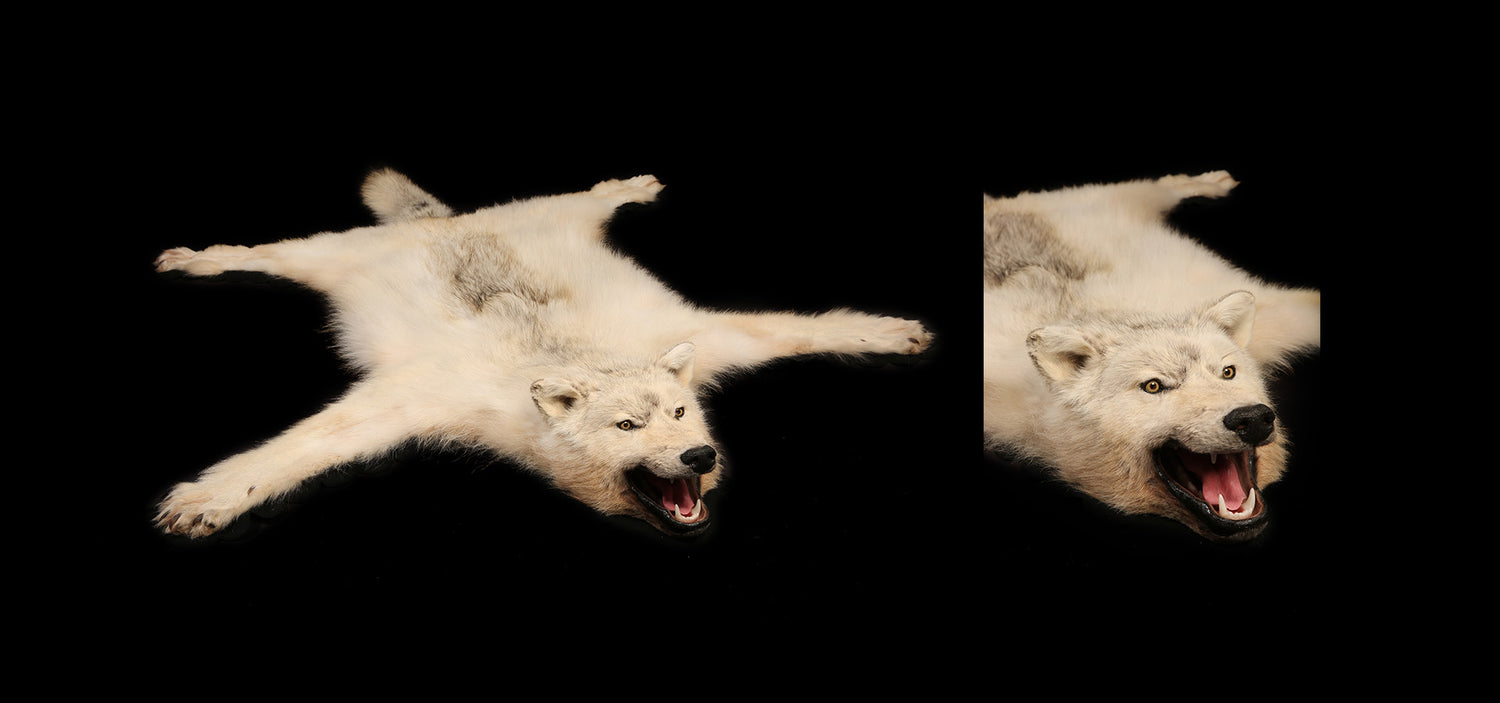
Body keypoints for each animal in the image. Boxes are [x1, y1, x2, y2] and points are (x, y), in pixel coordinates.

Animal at [153, 170, 931, 538]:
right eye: (627, 426)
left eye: (681, 413)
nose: (699, 456)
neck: (566, 354)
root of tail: (448, 221)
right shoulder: (415, 398)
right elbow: (300, 448)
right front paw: (210, 497)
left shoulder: (708, 334)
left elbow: (801, 329)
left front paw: (889, 333)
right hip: (327, 257)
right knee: (263, 253)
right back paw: (197, 258)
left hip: (554, 215)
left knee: (589, 195)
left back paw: (629, 185)